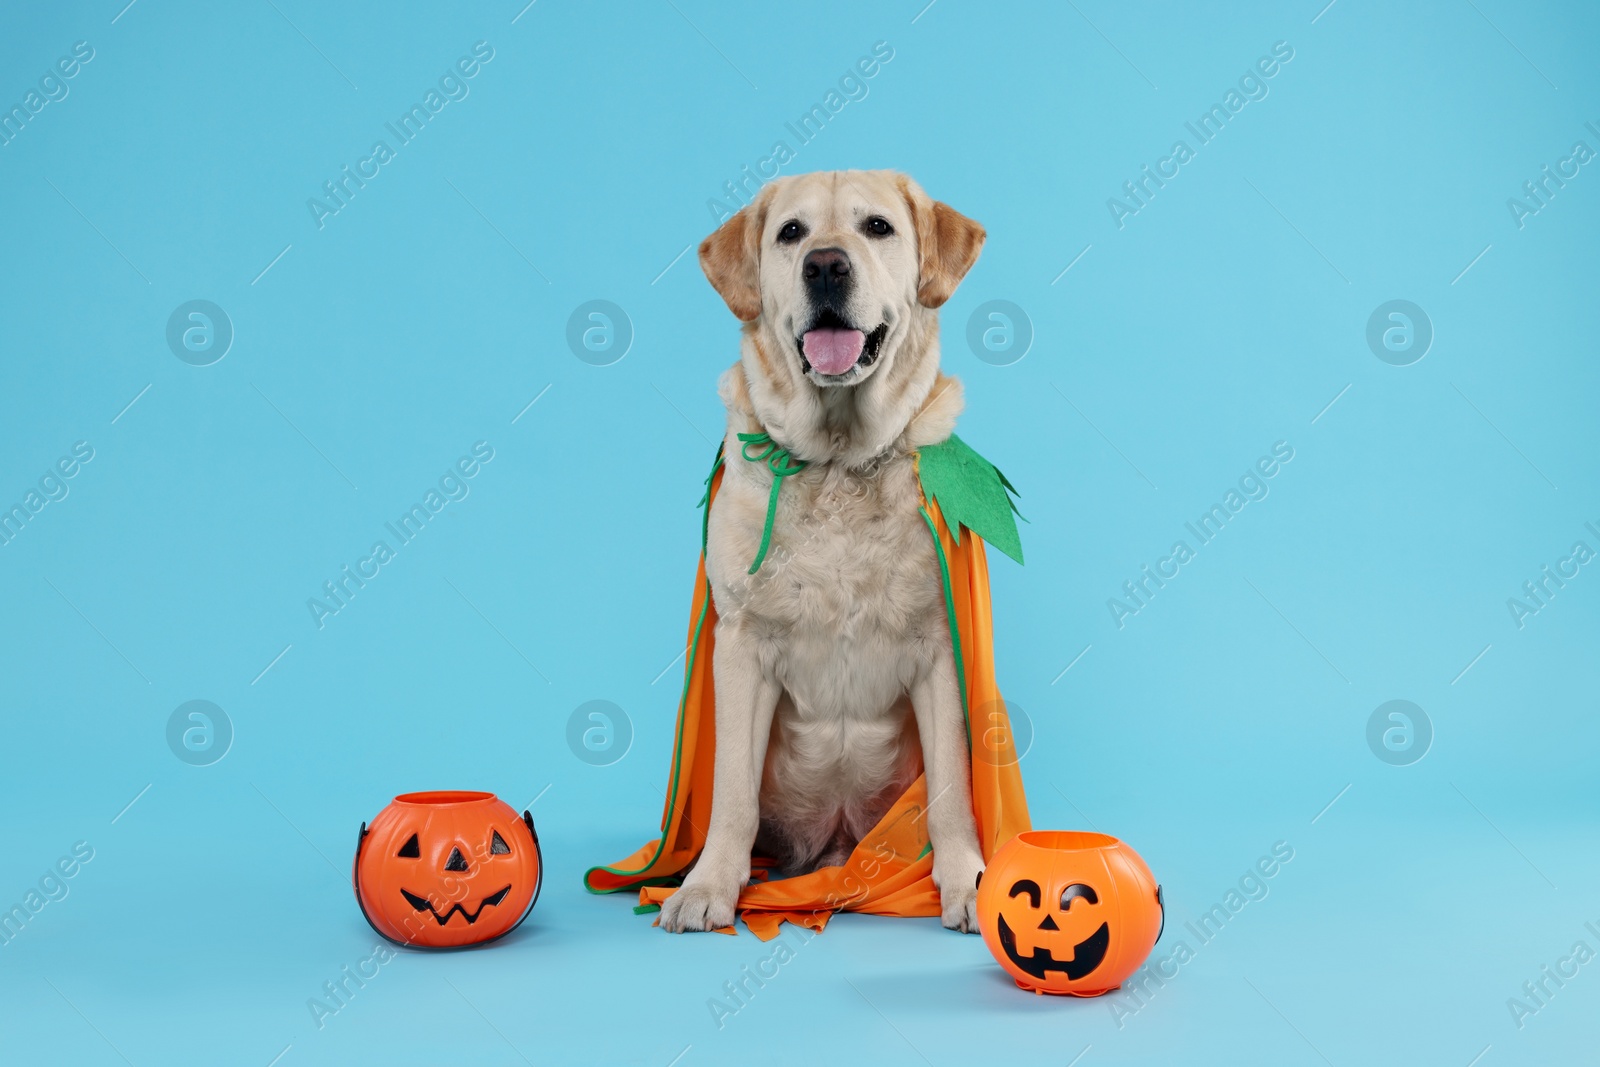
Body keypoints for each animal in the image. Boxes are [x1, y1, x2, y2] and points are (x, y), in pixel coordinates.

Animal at [652, 168, 985, 934]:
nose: (826, 266)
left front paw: (963, 880)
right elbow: (732, 793)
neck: (837, 461)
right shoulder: (742, 643)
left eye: (877, 227)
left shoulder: (939, 647)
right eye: (792, 233)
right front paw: (710, 885)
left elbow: (953, 792)